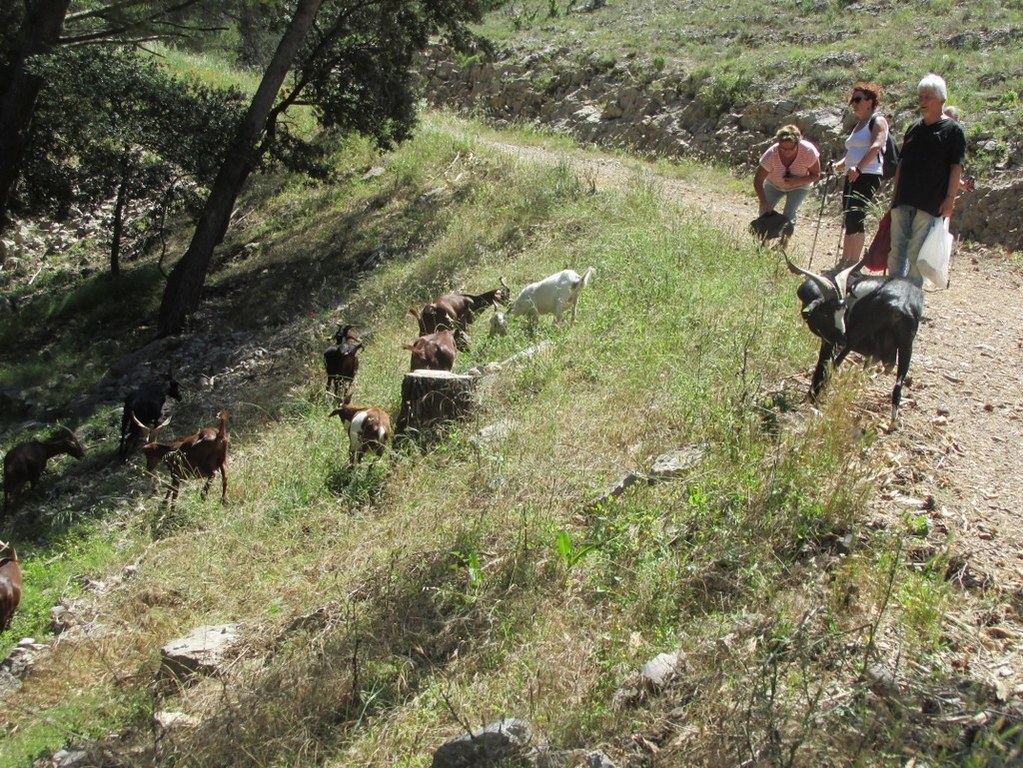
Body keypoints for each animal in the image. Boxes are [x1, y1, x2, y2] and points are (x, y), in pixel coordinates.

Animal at [781, 256, 928, 427]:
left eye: (844, 312)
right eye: (826, 314)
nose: (841, 339)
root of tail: (900, 305)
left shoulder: (830, 341)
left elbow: (822, 367)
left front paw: (811, 397)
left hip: (857, 334)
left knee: (833, 366)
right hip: (906, 345)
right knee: (898, 386)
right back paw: (893, 423)